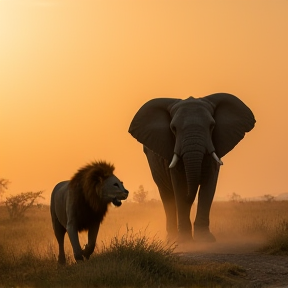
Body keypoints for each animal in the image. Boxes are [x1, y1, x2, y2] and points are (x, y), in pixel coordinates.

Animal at [129, 93, 255, 242]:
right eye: (173, 128)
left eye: (212, 126)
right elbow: (180, 185)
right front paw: (184, 241)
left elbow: (208, 187)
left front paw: (205, 240)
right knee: (167, 195)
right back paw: (171, 238)